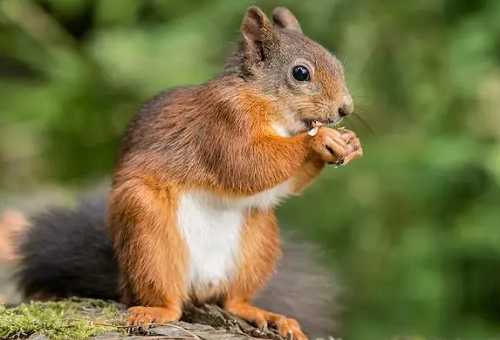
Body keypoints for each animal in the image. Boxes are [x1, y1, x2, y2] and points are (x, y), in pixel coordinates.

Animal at [6, 5, 364, 340]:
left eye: (338, 64)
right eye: (300, 73)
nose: (345, 108)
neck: (269, 105)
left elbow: (280, 184)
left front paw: (351, 143)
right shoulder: (222, 124)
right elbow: (248, 164)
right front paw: (319, 140)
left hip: (259, 238)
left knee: (231, 300)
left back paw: (267, 315)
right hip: (147, 229)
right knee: (170, 300)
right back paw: (154, 310)